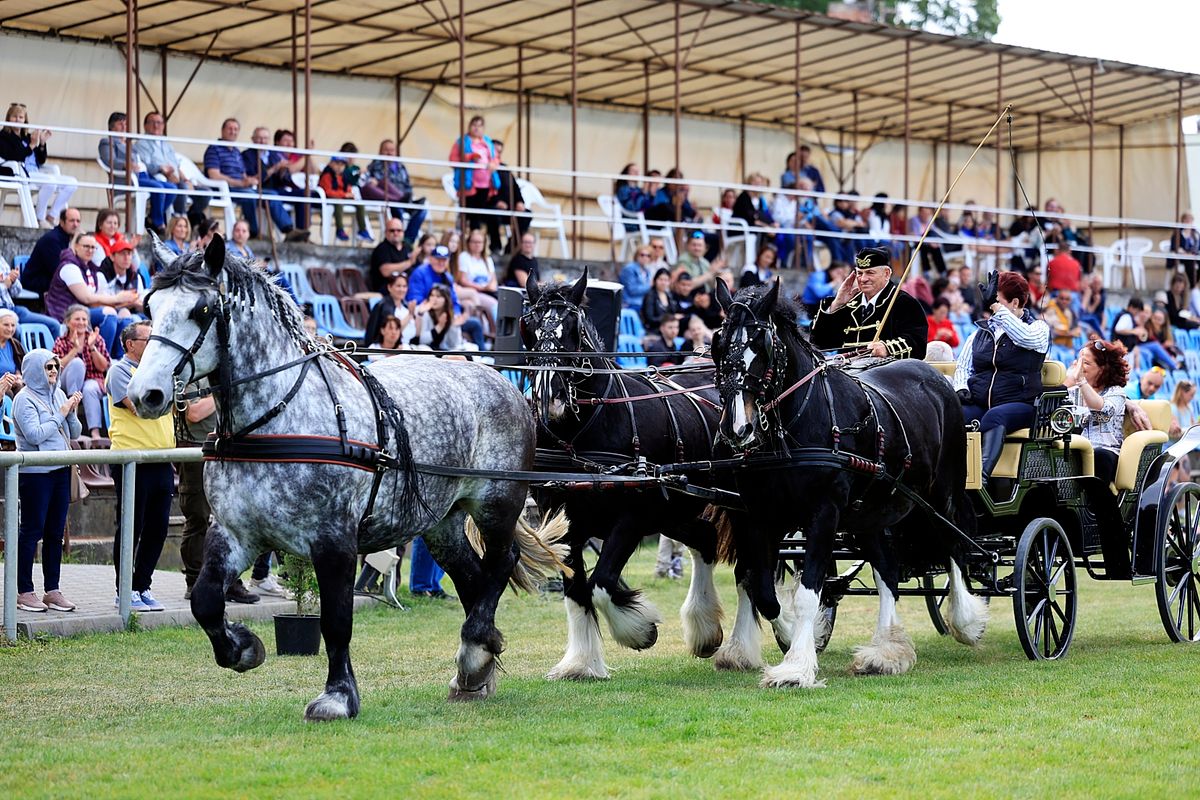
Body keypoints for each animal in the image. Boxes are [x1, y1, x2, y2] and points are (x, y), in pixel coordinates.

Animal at [129, 236, 568, 719]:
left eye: (202, 310)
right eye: (150, 306)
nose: (145, 394)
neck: (278, 417)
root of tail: (502, 379)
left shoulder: (334, 541)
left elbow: (336, 621)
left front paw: (337, 696)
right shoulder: (235, 533)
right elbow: (205, 600)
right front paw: (243, 648)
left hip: (497, 503)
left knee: (500, 564)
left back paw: (475, 650)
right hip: (443, 522)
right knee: (473, 577)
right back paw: (476, 665)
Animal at [520, 272, 753, 681]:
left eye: (573, 330)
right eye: (529, 327)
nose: (551, 400)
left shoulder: (632, 518)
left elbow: (600, 584)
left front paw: (639, 630)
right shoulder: (565, 526)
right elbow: (576, 590)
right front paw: (580, 663)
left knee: (750, 569)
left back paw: (748, 646)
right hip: (675, 510)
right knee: (706, 540)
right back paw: (705, 629)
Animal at [710, 281, 984, 690]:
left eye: (762, 343)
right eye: (719, 342)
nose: (737, 428)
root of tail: (937, 378)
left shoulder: (823, 513)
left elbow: (808, 592)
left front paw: (796, 665)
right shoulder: (759, 516)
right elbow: (761, 588)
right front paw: (790, 635)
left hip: (940, 496)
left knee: (953, 546)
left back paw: (966, 621)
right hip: (870, 513)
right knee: (888, 571)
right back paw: (886, 652)